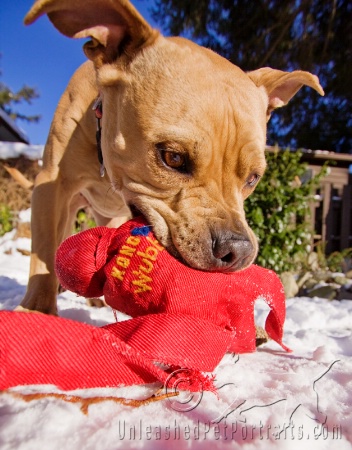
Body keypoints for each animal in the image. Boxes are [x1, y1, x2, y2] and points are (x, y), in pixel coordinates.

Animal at [17, 0, 324, 314]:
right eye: (173, 158)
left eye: (253, 178)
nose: (239, 250)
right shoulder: (50, 186)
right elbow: (43, 253)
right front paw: (37, 310)